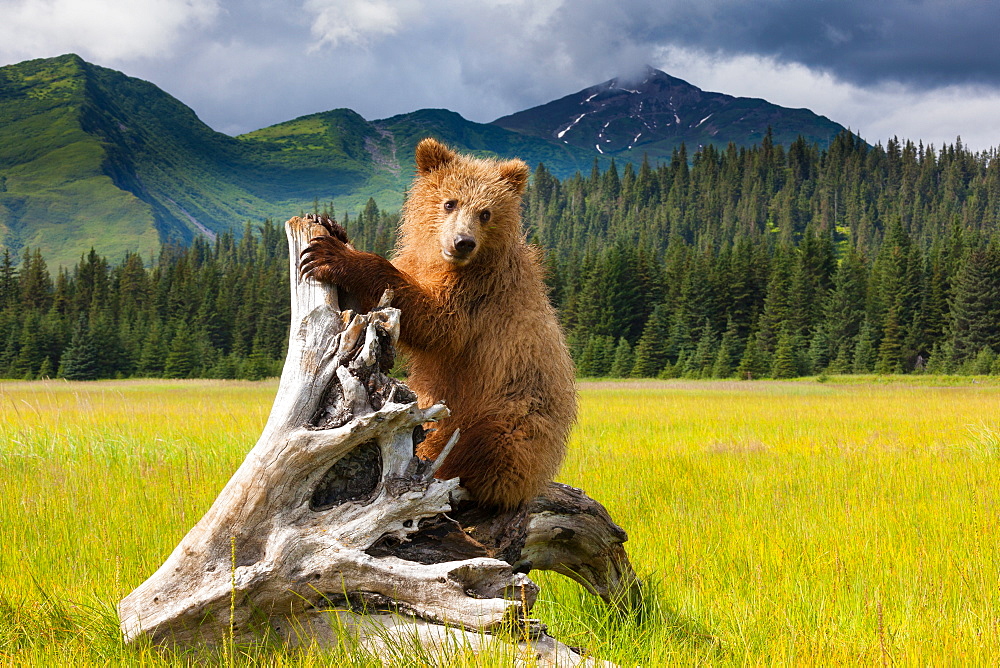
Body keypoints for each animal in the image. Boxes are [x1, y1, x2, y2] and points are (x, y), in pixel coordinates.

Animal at [300, 138, 576, 508]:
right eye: (450, 202)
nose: (463, 242)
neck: (443, 261)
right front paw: (329, 226)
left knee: (491, 446)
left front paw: (335, 255)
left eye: (486, 213)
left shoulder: (478, 292)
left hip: (514, 412)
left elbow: (438, 323)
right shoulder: (419, 263)